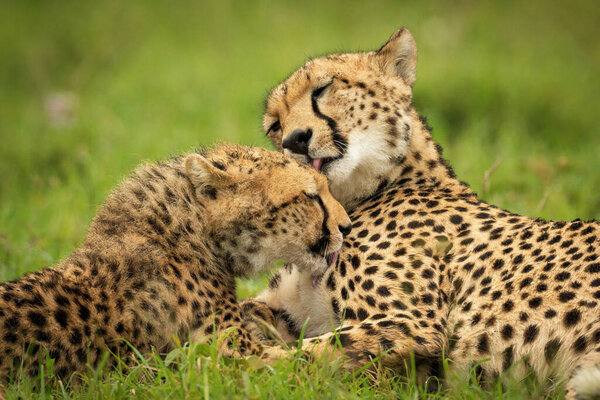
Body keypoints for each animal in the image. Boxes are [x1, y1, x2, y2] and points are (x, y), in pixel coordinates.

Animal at [245, 28, 600, 396]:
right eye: (275, 125)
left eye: (323, 88)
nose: (295, 140)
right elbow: (244, 317)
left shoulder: (414, 325)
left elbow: (293, 355)